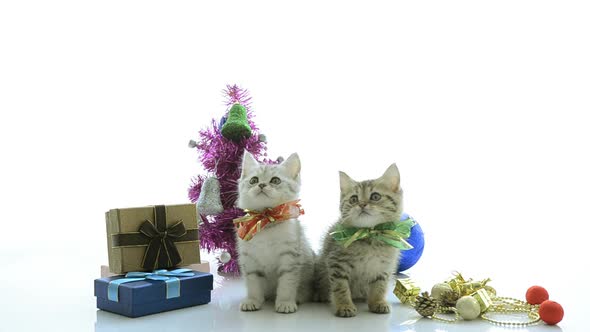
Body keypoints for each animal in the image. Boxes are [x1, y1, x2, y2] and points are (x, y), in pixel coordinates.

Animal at [238, 153, 316, 314]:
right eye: (254, 180)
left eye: (275, 180)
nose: (261, 185)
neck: (266, 222)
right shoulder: (250, 259)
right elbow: (253, 282)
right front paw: (252, 300)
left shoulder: (290, 257)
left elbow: (287, 283)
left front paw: (285, 302)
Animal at [316, 165, 404, 318]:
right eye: (353, 199)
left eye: (375, 196)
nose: (362, 204)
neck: (369, 236)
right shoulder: (336, 263)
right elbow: (341, 287)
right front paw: (345, 305)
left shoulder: (383, 267)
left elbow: (379, 286)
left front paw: (378, 302)